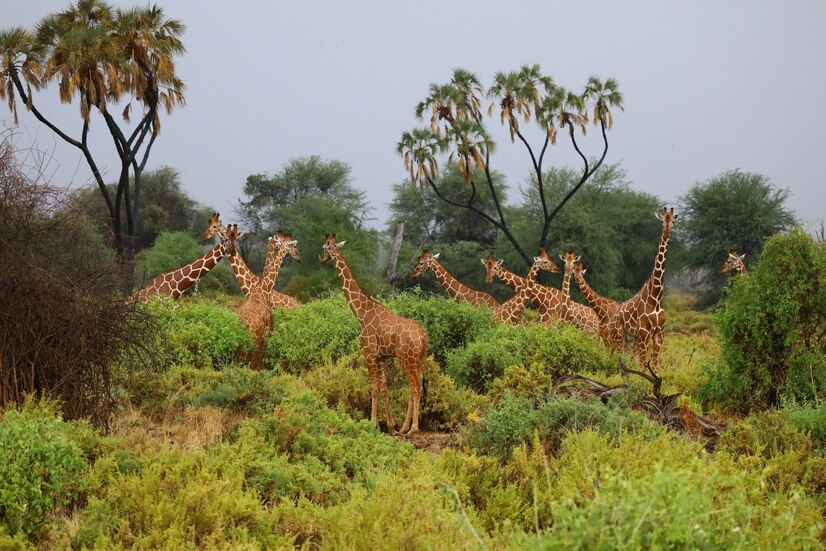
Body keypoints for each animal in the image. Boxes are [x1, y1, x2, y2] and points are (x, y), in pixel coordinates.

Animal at [321, 234, 428, 435]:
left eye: (325, 247)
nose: (321, 259)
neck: (362, 313)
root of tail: (424, 338)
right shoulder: (382, 357)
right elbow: (384, 388)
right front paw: (391, 426)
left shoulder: (369, 352)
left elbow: (373, 387)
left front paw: (373, 424)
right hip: (418, 360)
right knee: (413, 389)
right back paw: (404, 427)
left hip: (407, 359)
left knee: (416, 388)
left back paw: (413, 429)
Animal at [607, 207, 678, 375]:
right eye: (662, 220)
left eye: (673, 221)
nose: (667, 232)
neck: (656, 297)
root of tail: (611, 320)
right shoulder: (644, 333)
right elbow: (644, 366)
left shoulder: (659, 334)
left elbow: (655, 367)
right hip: (618, 337)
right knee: (616, 361)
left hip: (630, 340)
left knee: (625, 363)